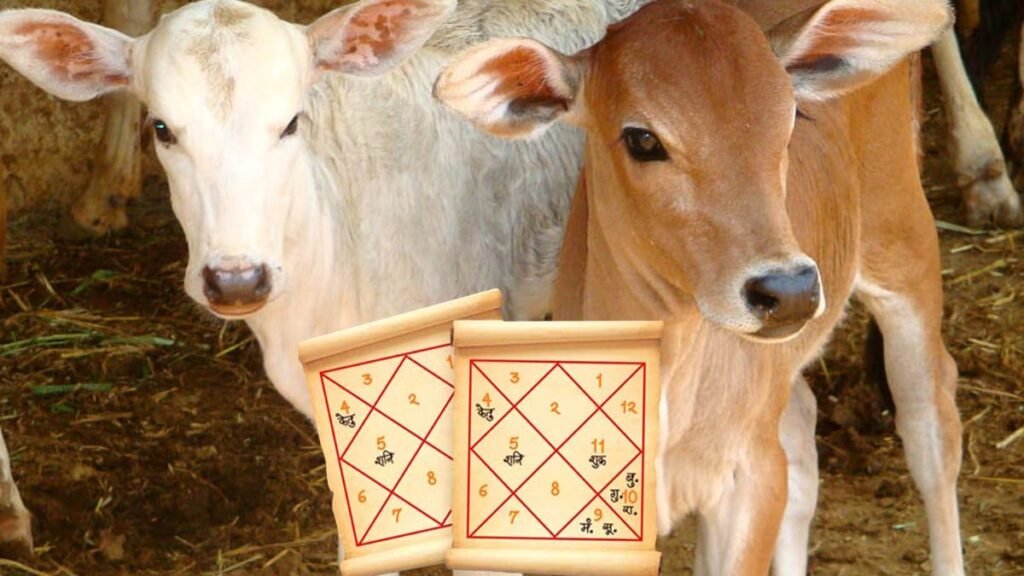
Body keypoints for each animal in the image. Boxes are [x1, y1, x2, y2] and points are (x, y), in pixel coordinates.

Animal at [436, 0, 962, 573]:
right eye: (642, 139)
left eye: (793, 115)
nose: (788, 290)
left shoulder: (750, 478)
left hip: (900, 235)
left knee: (932, 424)